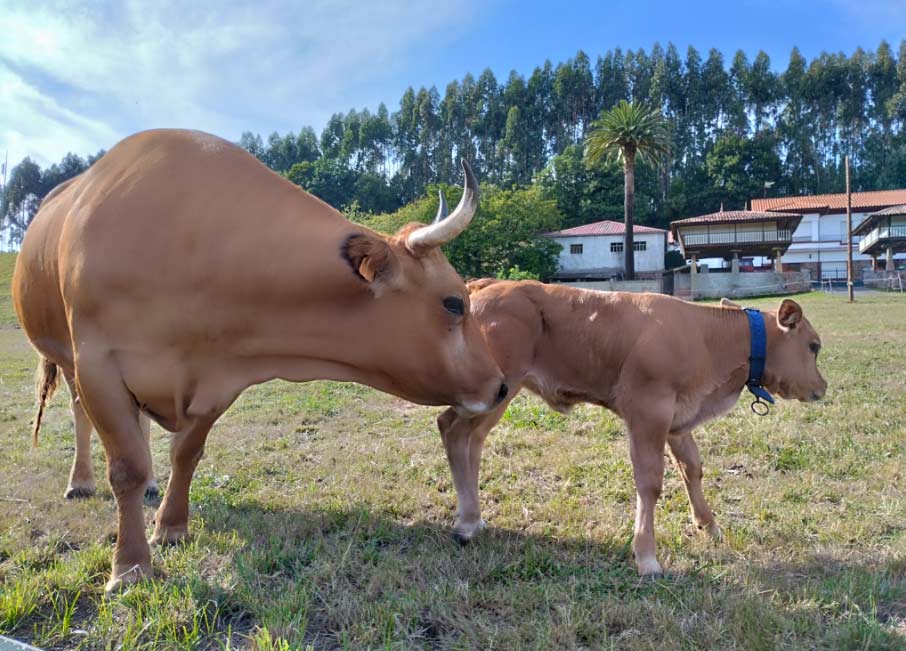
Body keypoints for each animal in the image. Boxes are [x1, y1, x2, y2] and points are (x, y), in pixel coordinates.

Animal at [13, 129, 508, 591]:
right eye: (454, 303)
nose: (501, 385)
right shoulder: (98, 364)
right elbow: (126, 468)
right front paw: (131, 567)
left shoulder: (218, 377)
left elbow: (185, 454)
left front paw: (171, 527)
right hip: (68, 361)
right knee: (81, 415)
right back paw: (80, 481)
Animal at [435, 280, 826, 576]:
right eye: (813, 346)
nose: (822, 388)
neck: (708, 339)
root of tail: (485, 287)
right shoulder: (648, 412)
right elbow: (650, 482)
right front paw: (647, 557)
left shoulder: (677, 419)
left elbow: (693, 468)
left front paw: (709, 526)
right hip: (496, 387)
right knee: (454, 430)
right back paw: (466, 523)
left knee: (469, 438)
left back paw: (474, 518)